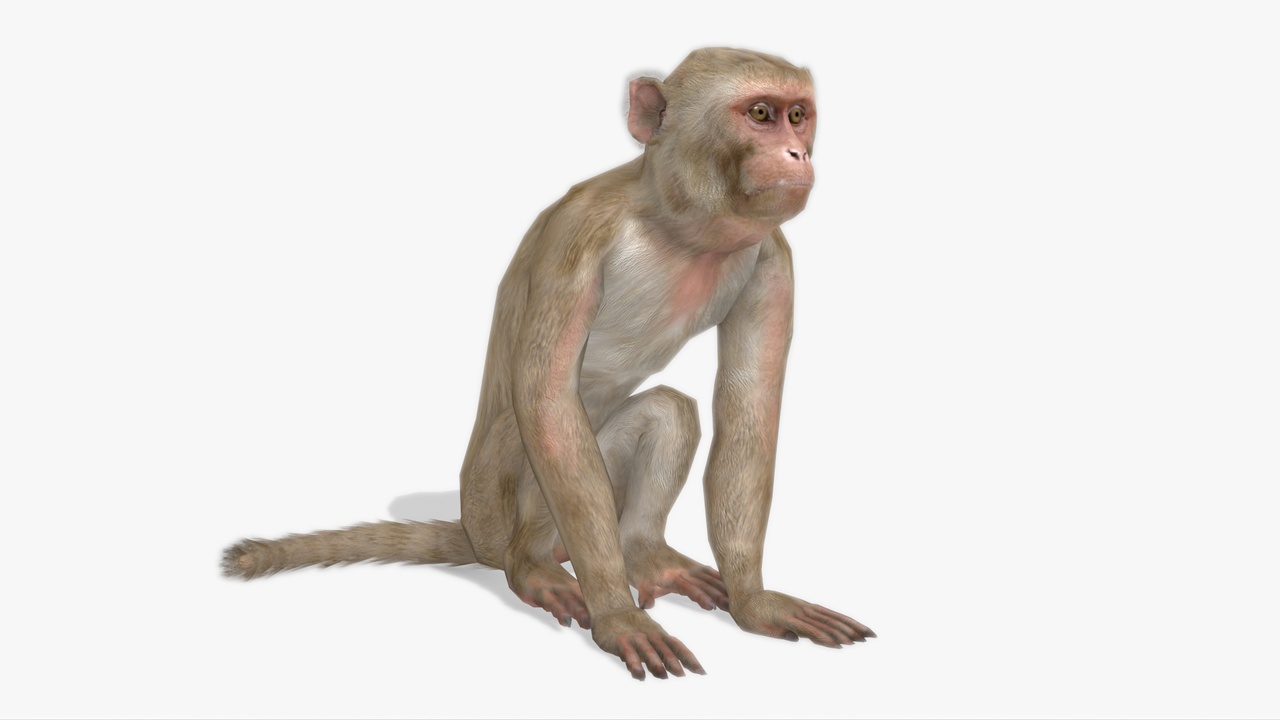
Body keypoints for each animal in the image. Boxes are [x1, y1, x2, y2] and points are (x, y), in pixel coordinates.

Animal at [223, 47, 875, 680]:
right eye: (761, 114)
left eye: (798, 115)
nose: (796, 152)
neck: (678, 231)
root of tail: (477, 532)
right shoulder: (577, 237)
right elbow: (545, 400)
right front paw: (617, 615)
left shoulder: (771, 257)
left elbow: (750, 408)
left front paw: (755, 601)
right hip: (495, 507)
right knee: (540, 435)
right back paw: (532, 564)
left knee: (669, 413)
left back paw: (642, 552)